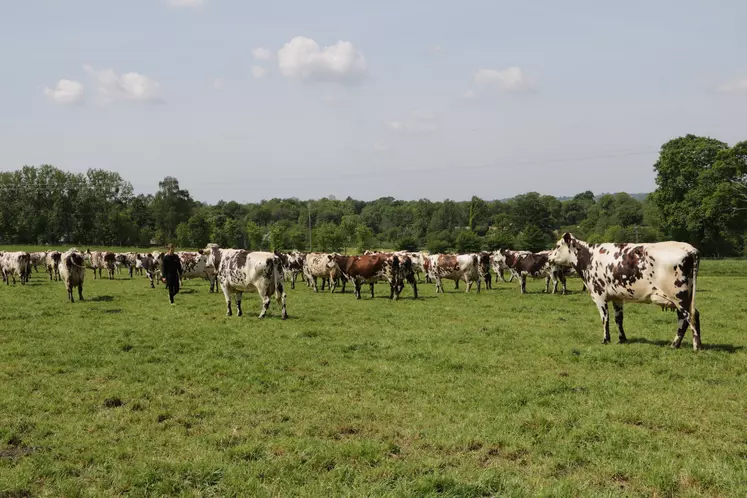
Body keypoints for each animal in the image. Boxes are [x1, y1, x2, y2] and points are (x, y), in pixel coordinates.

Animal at [548, 233, 700, 350]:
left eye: (557, 246)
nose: (549, 257)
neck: (589, 257)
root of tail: (689, 248)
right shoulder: (617, 297)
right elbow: (618, 319)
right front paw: (622, 339)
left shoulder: (599, 294)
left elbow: (605, 318)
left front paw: (605, 339)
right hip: (685, 296)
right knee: (691, 316)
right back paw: (683, 344)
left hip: (679, 296)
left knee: (688, 317)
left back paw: (691, 346)